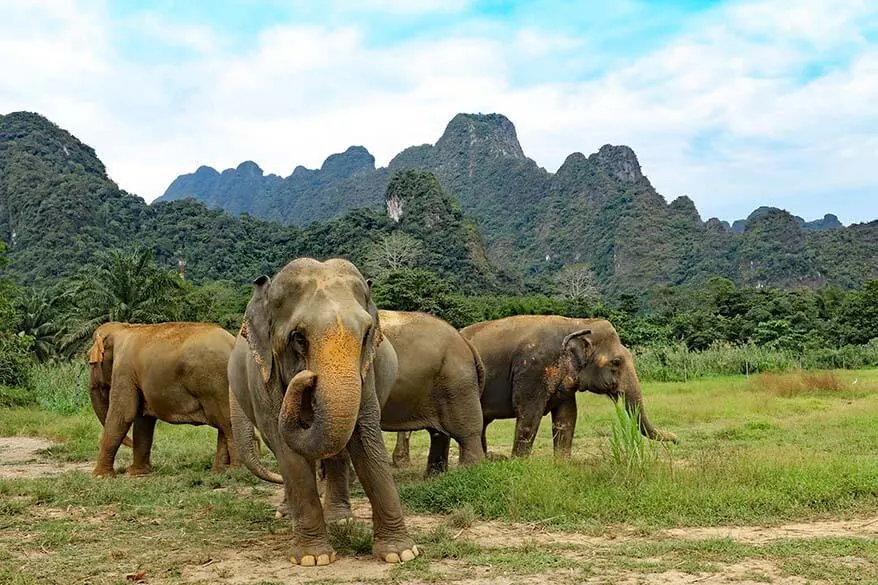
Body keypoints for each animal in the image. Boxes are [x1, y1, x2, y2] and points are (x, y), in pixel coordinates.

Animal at [87, 320, 276, 480]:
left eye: (91, 362)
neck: (123, 328)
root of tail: (232, 342)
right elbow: (143, 420)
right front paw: (136, 473)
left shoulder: (124, 370)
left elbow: (123, 414)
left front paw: (100, 477)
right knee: (223, 423)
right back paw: (218, 472)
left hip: (215, 382)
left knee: (227, 423)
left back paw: (235, 472)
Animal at [227, 258, 420, 564]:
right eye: (298, 338)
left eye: (366, 335)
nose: (307, 378)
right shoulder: (263, 379)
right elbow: (287, 450)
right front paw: (312, 558)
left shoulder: (367, 373)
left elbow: (366, 439)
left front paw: (401, 553)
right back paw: (289, 515)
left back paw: (339, 519)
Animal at [458, 312, 676, 458]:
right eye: (616, 362)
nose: (675, 438)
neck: (578, 323)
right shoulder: (533, 369)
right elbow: (529, 414)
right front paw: (518, 464)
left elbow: (567, 416)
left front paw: (563, 465)